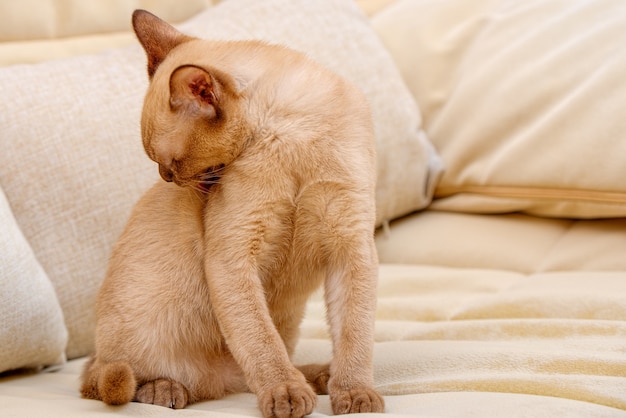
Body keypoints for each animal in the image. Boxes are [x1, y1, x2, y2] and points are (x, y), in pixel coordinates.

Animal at [78, 9, 380, 418]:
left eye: (172, 164)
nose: (168, 179)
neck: (294, 134)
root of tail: (219, 383)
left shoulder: (352, 247)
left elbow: (354, 334)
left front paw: (355, 395)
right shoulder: (234, 254)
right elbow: (261, 342)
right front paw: (286, 396)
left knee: (256, 371)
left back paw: (321, 377)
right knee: (122, 377)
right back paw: (166, 390)